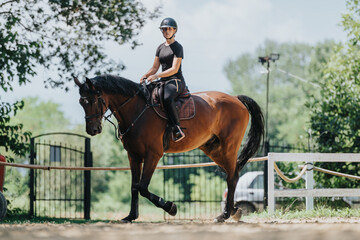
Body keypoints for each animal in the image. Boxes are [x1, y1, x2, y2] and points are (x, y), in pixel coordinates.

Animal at [74, 74, 264, 222]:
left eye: (93, 100)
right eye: (81, 102)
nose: (92, 130)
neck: (137, 110)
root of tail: (236, 99)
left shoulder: (153, 155)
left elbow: (143, 187)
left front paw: (170, 207)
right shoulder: (133, 156)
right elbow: (134, 186)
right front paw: (131, 216)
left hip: (228, 148)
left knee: (232, 177)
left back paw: (224, 215)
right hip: (214, 150)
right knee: (233, 173)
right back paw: (233, 211)